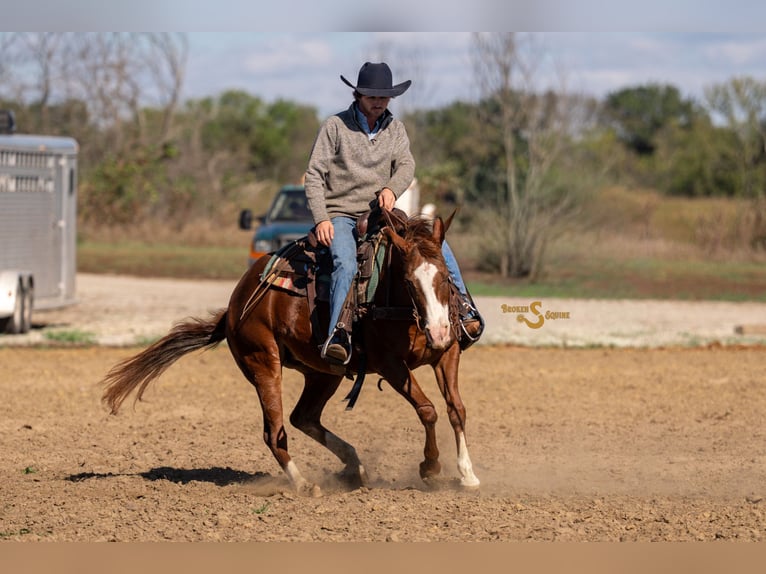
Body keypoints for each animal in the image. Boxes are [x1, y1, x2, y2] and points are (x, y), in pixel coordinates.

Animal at [100, 210, 480, 496]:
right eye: (408, 282)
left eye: (445, 277)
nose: (438, 331)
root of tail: (234, 305)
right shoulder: (390, 365)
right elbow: (428, 410)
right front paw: (430, 467)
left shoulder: (447, 354)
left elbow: (456, 409)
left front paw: (467, 474)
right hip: (263, 363)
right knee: (276, 430)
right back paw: (304, 484)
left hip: (323, 373)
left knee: (304, 417)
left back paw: (354, 466)